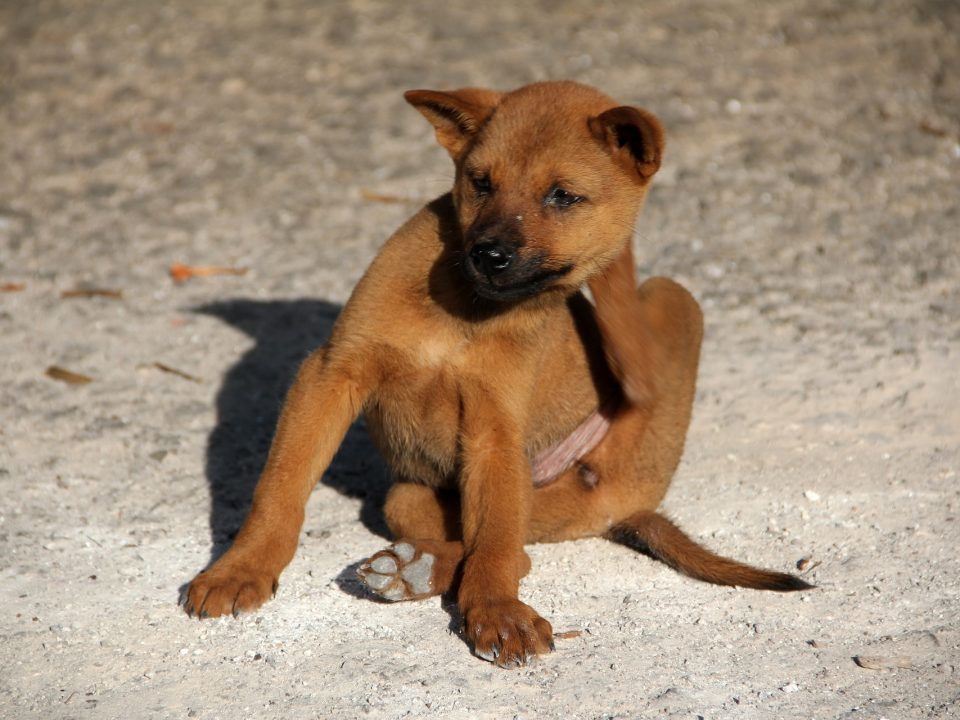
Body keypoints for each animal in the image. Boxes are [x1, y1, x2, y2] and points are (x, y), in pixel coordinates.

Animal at [182, 81, 808, 668]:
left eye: (563, 196)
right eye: (480, 182)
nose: (489, 255)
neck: (466, 311)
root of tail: (632, 507)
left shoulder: (494, 430)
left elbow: (496, 543)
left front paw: (497, 613)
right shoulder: (331, 374)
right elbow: (280, 489)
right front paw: (241, 568)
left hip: (668, 304)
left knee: (513, 547)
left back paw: (413, 570)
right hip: (410, 496)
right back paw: (412, 566)